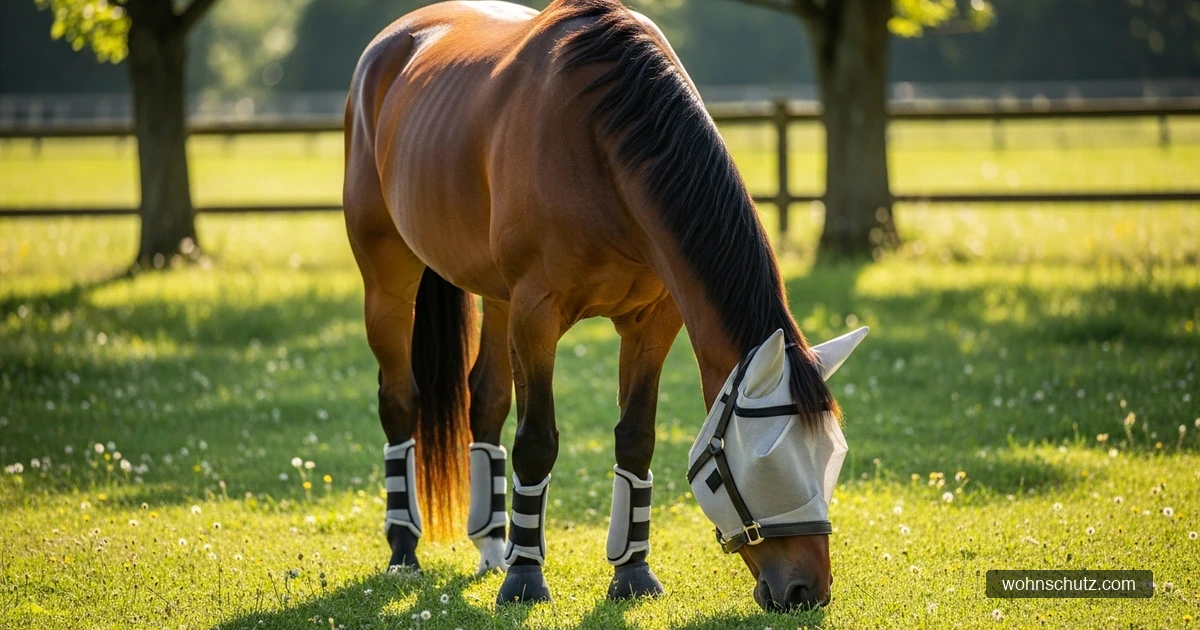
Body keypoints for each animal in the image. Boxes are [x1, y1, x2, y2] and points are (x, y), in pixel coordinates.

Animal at [343, 0, 866, 611]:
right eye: (763, 463)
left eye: (831, 453)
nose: (808, 590)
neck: (597, 143)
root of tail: (394, 42)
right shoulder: (536, 315)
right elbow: (536, 443)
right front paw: (525, 580)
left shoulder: (651, 322)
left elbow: (636, 439)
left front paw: (631, 573)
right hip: (389, 280)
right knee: (400, 401)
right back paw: (405, 549)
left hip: (497, 300)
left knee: (486, 401)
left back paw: (493, 546)